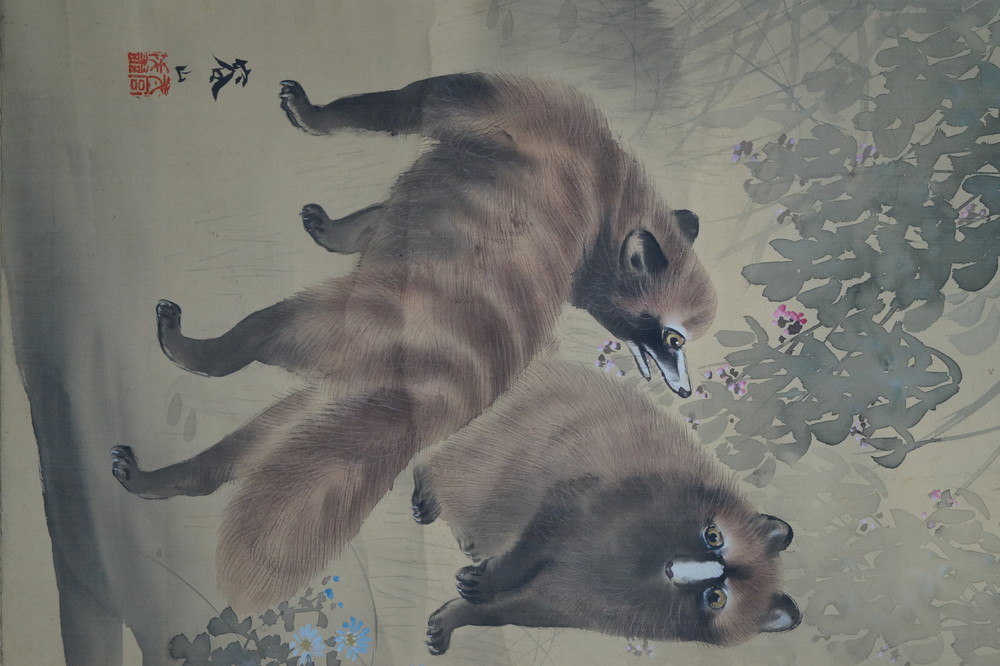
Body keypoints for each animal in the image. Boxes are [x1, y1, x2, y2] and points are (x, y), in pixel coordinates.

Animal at [110, 73, 717, 607]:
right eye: (674, 339)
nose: (685, 391)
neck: (611, 182)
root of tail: (430, 399)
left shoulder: (510, 109)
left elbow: (410, 101)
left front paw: (317, 114)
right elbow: (383, 216)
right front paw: (341, 228)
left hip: (346, 324)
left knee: (265, 333)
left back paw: (201, 350)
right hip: (336, 400)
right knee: (251, 446)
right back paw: (174, 477)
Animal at [414, 359, 800, 654]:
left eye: (716, 597)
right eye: (714, 536)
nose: (673, 568)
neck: (642, 567)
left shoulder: (586, 605)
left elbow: (519, 608)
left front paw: (459, 614)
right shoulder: (589, 497)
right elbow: (536, 537)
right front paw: (494, 577)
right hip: (502, 442)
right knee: (456, 461)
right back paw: (428, 484)